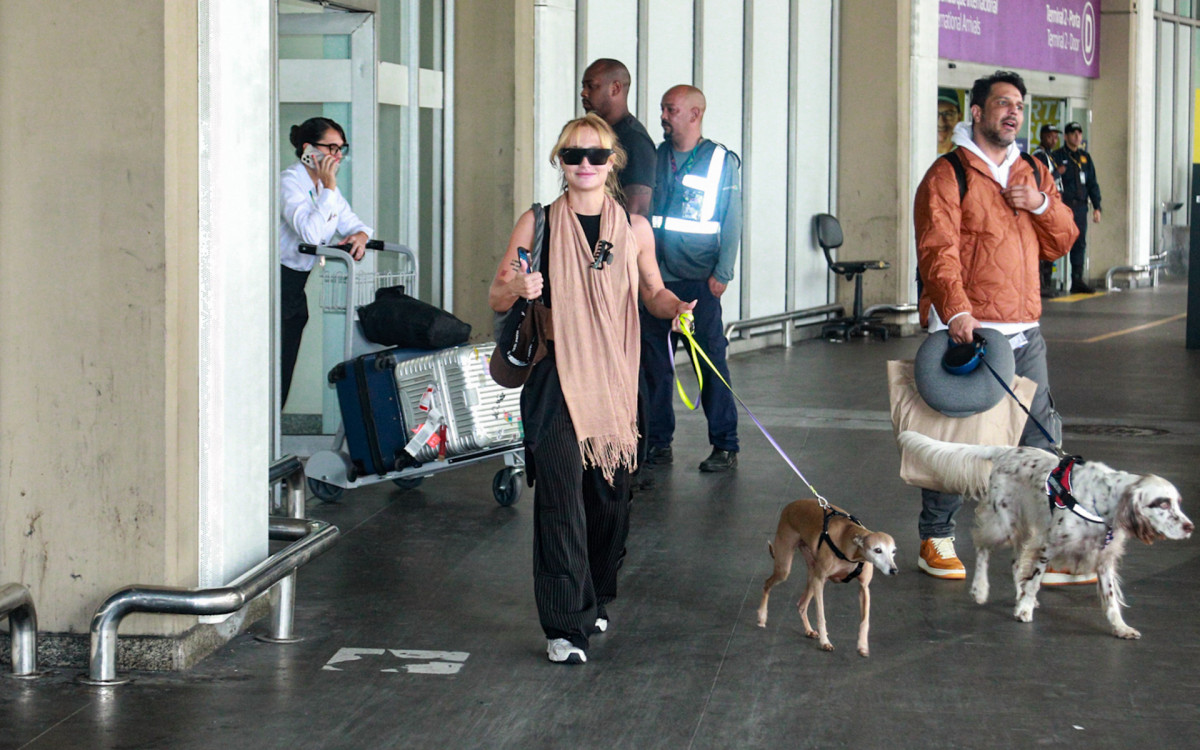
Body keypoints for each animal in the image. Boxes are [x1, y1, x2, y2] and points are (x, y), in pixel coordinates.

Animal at [753, 496, 897, 652]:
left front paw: (863, 645)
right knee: (767, 584)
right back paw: (762, 616)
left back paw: (809, 630)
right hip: (786, 568)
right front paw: (825, 641)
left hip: (812, 574)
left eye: (893, 551)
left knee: (801, 605)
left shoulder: (864, 588)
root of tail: (791, 505)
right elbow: (821, 615)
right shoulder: (820, 580)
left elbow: (865, 620)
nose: (894, 570)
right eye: (878, 550)